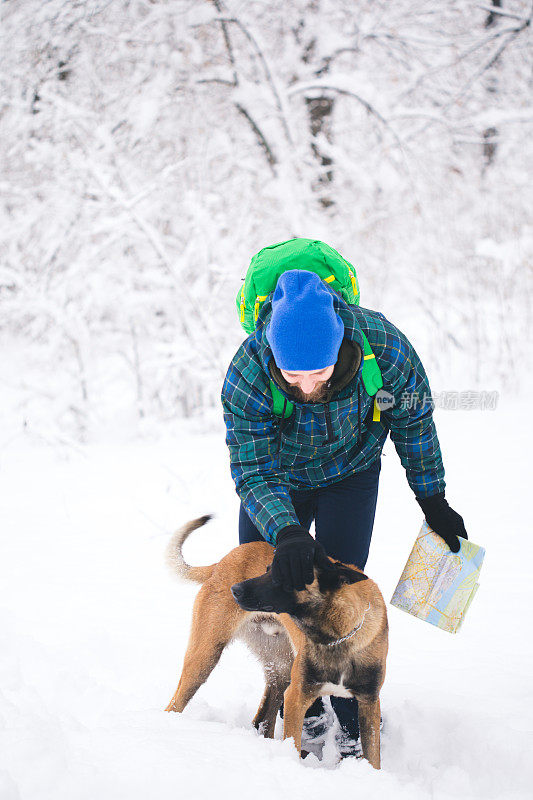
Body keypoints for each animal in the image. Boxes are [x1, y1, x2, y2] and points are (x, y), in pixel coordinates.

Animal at [164, 512, 388, 768]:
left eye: (281, 576)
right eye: (267, 568)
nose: (234, 589)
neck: (339, 637)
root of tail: (222, 562)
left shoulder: (369, 703)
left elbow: (373, 757)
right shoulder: (296, 696)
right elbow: (292, 740)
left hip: (280, 670)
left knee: (262, 720)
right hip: (205, 657)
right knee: (175, 703)